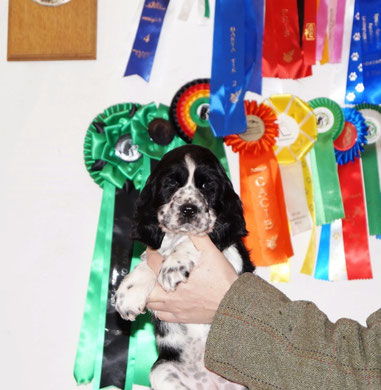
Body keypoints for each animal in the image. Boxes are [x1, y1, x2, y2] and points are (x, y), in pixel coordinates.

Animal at [114, 145, 254, 388]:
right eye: (171, 184)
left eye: (207, 186)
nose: (189, 209)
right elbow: (146, 263)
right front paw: (128, 294)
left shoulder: (233, 256)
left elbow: (192, 239)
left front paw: (173, 266)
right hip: (162, 368)